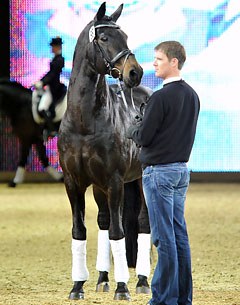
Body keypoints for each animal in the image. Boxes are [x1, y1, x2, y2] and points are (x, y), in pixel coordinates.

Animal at [57, 2, 152, 300]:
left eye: (127, 37)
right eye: (105, 38)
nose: (135, 72)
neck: (85, 121)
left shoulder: (115, 181)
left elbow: (118, 232)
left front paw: (123, 288)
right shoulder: (74, 183)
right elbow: (80, 230)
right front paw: (77, 286)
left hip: (141, 180)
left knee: (142, 223)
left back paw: (142, 281)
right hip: (99, 188)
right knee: (102, 221)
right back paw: (102, 278)